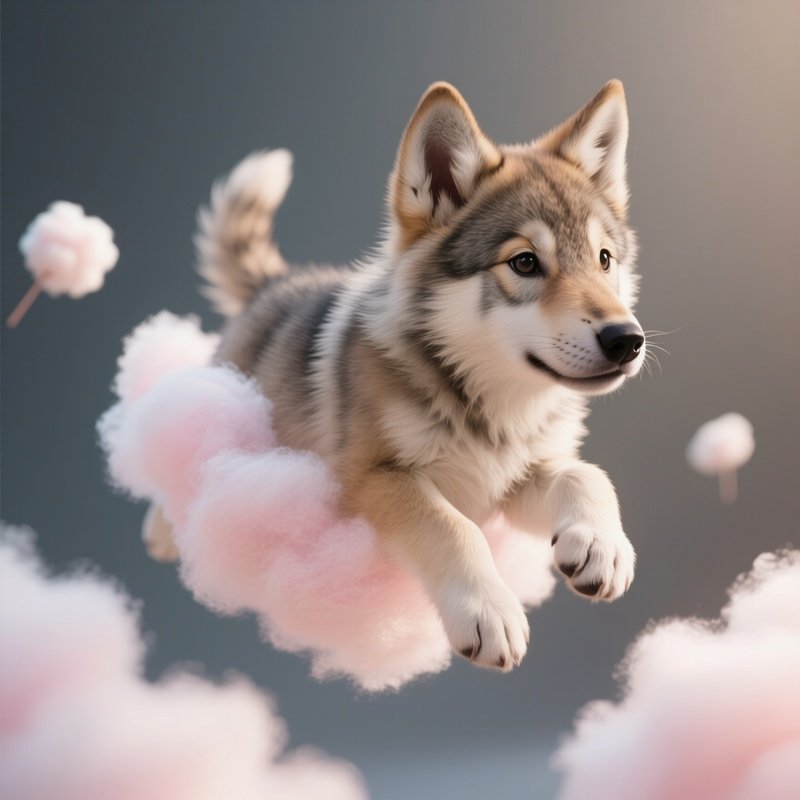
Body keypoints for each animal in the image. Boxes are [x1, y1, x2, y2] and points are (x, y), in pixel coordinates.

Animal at [152, 80, 645, 672]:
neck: (490, 407)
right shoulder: (373, 477)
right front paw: (488, 612)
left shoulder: (517, 475)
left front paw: (601, 546)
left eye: (604, 259)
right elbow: (453, 527)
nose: (627, 339)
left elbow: (586, 475)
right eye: (525, 263)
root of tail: (277, 282)